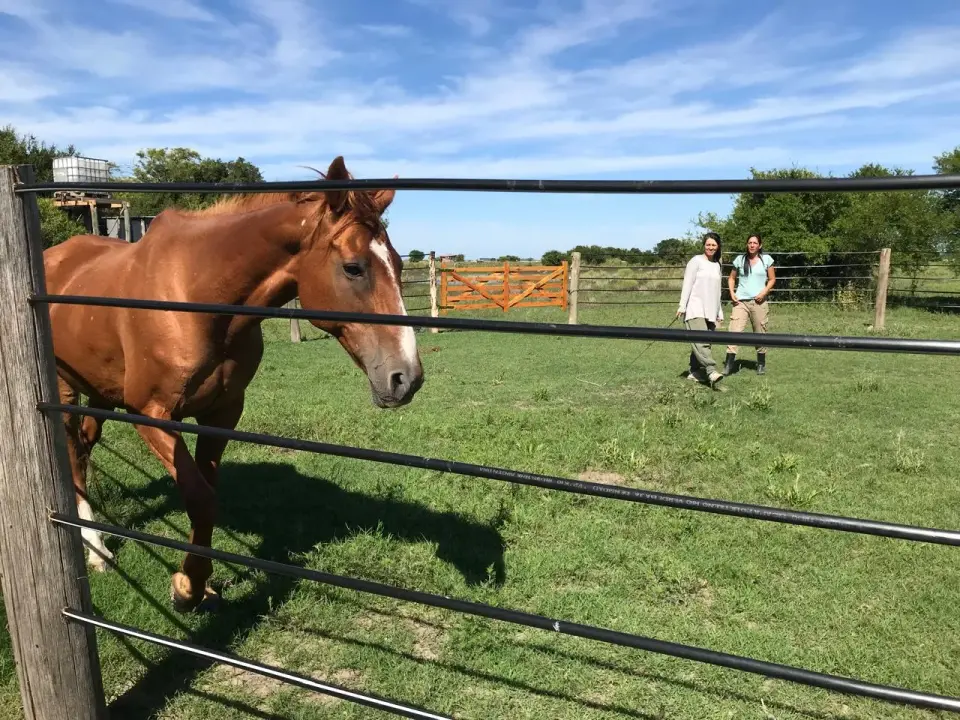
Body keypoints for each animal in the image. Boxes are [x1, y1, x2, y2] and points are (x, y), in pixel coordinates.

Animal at [43, 155, 424, 612]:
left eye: (399, 265)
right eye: (353, 267)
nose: (406, 377)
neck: (196, 294)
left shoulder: (221, 413)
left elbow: (206, 496)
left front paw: (198, 582)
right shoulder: (150, 413)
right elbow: (200, 497)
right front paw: (186, 588)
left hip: (101, 394)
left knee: (83, 449)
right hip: (66, 391)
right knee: (72, 457)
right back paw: (96, 550)